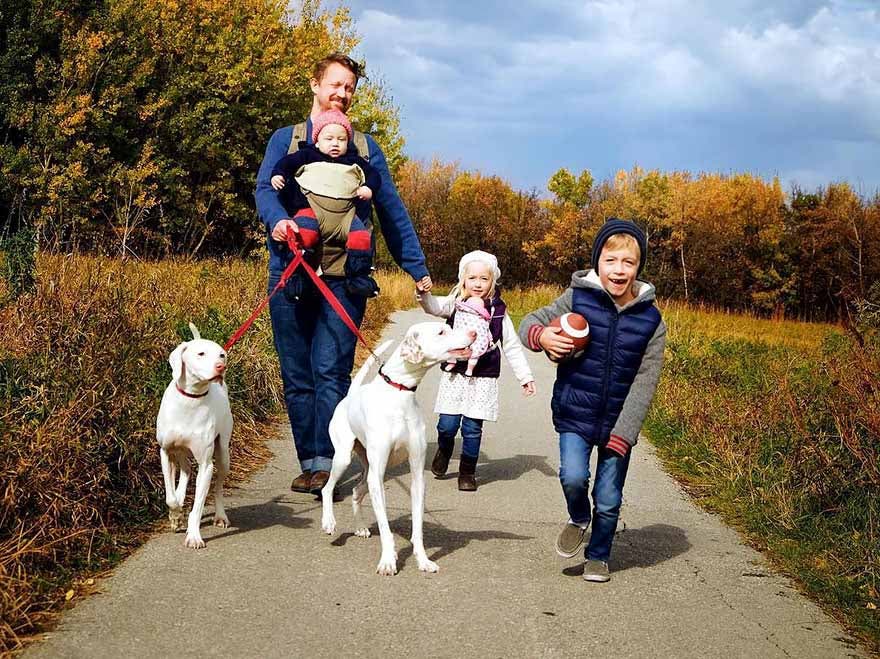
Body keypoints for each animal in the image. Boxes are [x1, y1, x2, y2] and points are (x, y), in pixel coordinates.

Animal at [156, 324, 232, 548]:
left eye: (222, 355)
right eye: (201, 353)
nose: (221, 367)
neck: (191, 399)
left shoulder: (206, 465)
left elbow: (197, 507)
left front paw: (194, 536)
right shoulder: (165, 452)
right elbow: (170, 497)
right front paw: (175, 516)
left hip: (223, 454)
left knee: (217, 486)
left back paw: (220, 516)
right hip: (180, 451)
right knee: (187, 469)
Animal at [322, 322, 474, 576]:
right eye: (441, 332)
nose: (474, 333)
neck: (399, 392)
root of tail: (350, 396)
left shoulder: (416, 476)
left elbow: (418, 529)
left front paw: (423, 560)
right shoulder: (377, 477)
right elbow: (385, 529)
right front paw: (388, 561)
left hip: (370, 471)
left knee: (356, 491)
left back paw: (360, 527)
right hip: (345, 459)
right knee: (327, 488)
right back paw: (329, 522)